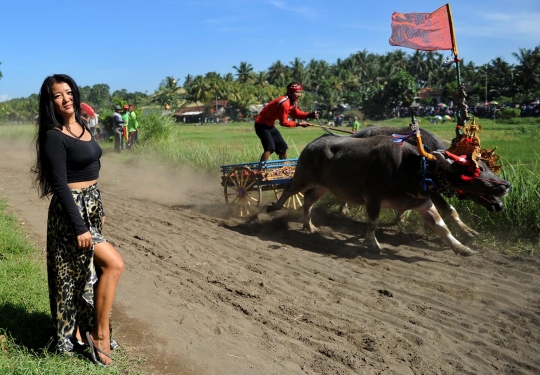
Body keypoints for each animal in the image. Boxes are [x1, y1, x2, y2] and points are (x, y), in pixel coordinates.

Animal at [266, 134, 510, 258]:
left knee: (308, 200)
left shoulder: (424, 202)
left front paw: (461, 247)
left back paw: (310, 225)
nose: (506, 186)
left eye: (486, 165)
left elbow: (442, 227)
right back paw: (273, 208)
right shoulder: (373, 197)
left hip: (322, 187)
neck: (416, 169)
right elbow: (372, 222)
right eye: (475, 169)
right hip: (303, 177)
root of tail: (312, 143)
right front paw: (372, 243)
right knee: (288, 189)